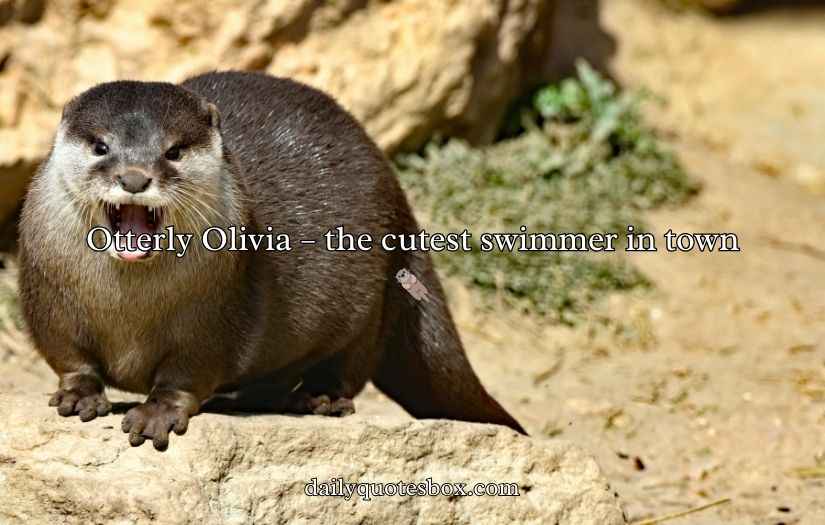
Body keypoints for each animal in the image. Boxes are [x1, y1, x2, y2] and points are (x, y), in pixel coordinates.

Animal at [18, 71, 525, 450]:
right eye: (101, 146)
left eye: (173, 150)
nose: (134, 177)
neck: (128, 313)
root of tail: (398, 195)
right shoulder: (49, 303)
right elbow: (69, 356)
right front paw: (79, 395)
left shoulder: (215, 316)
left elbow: (186, 375)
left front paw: (156, 413)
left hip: (369, 297)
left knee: (351, 365)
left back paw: (320, 398)